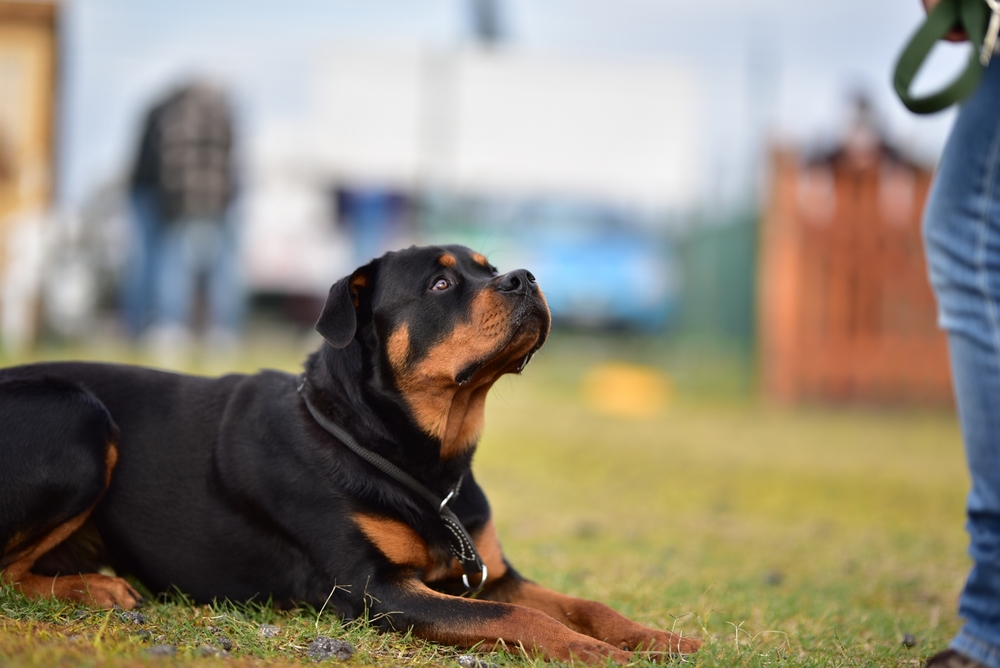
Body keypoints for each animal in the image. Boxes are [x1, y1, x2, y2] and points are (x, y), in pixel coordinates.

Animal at [0, 245, 704, 664]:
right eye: (442, 282)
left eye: (490, 265)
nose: (525, 276)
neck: (425, 461)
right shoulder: (370, 589)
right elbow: (520, 616)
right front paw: (603, 654)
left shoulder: (491, 570)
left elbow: (584, 605)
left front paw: (659, 637)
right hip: (81, 420)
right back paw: (96, 588)